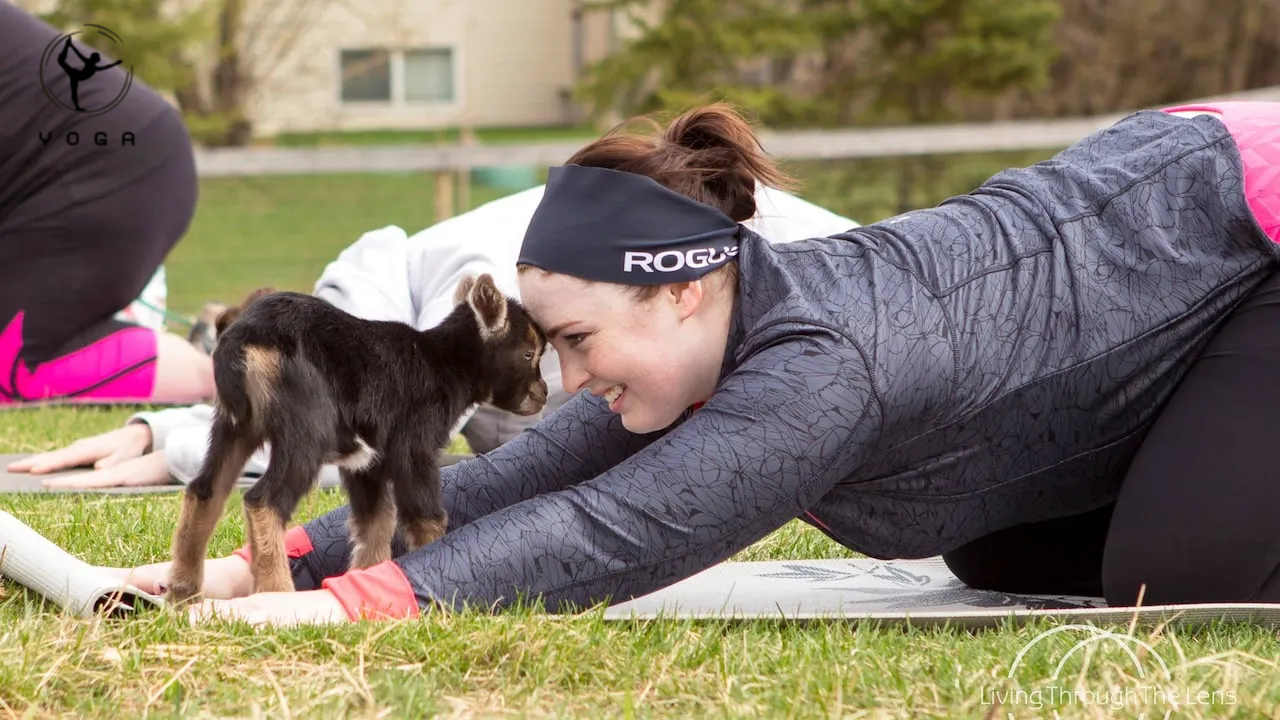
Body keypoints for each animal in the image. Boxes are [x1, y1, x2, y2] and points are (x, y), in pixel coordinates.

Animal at [165, 273, 548, 603]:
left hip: (233, 426)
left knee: (205, 491)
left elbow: (375, 522)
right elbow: (426, 516)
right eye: (528, 353)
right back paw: (276, 592)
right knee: (264, 501)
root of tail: (246, 336)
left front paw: (367, 576)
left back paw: (183, 592)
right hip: (306, 431)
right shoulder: (415, 447)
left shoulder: (368, 464)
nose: (542, 394)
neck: (442, 363)